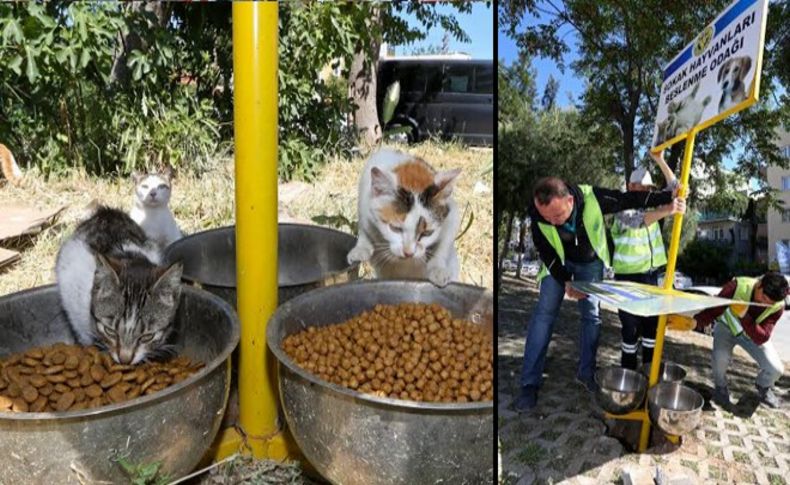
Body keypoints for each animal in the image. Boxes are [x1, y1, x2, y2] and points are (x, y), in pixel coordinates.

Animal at [348, 146, 464, 286]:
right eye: (395, 228)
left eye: (427, 233)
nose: (408, 253)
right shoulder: (364, 203)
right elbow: (364, 229)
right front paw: (361, 249)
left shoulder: (452, 216)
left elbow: (443, 246)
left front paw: (438, 269)